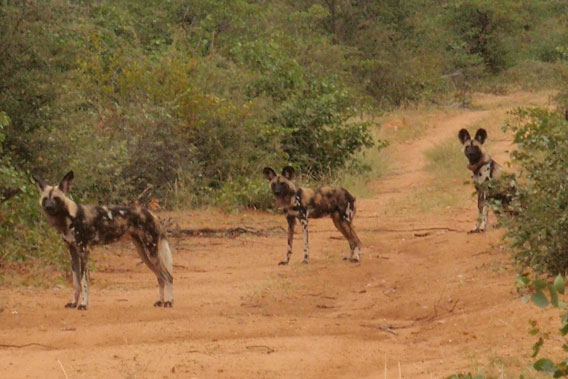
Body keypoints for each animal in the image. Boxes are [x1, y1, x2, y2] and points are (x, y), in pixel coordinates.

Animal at [34, 172, 173, 312]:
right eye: (45, 199)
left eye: (56, 198)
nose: (48, 207)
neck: (69, 217)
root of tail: (152, 214)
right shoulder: (73, 252)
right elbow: (76, 282)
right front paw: (73, 303)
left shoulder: (83, 251)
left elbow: (84, 282)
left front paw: (83, 304)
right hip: (144, 254)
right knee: (160, 277)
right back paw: (161, 301)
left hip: (151, 252)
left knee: (168, 276)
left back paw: (169, 302)